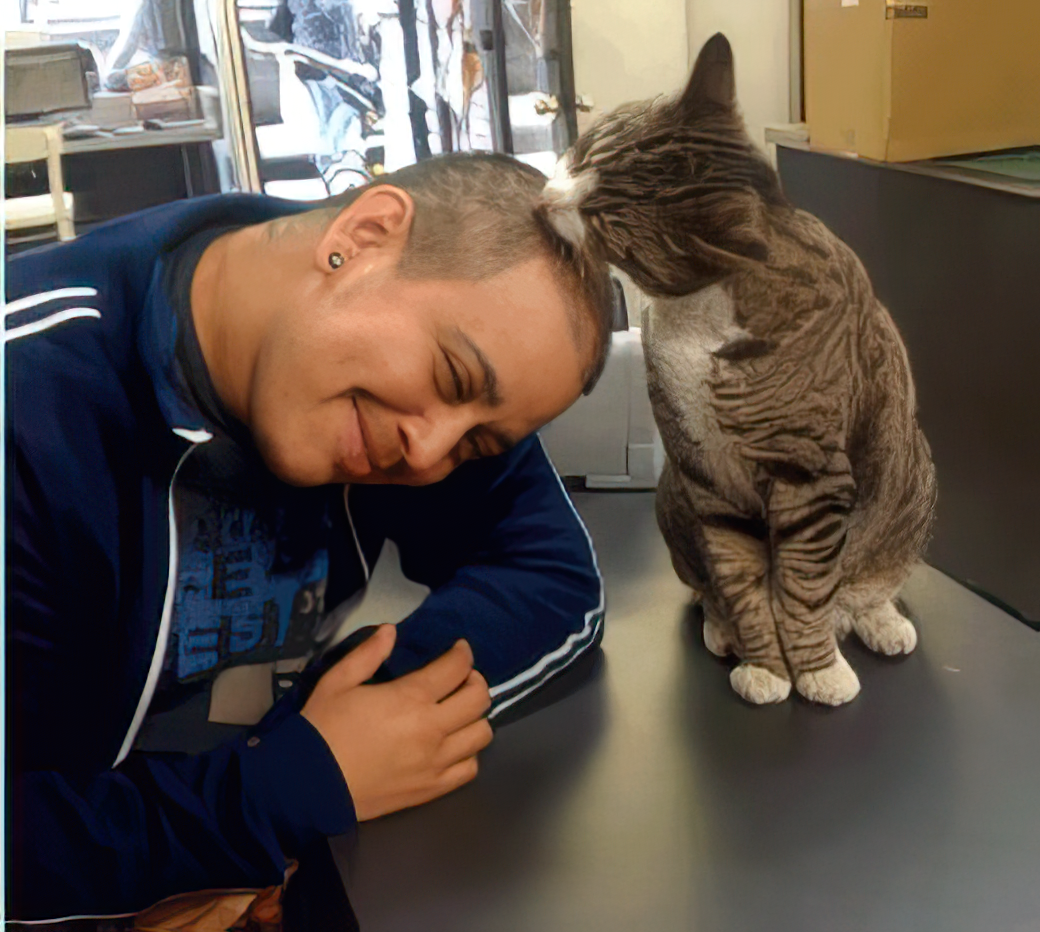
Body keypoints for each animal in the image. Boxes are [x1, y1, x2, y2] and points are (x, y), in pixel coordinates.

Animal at [540, 36, 940, 707]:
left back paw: (877, 621)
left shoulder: (809, 473)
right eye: (587, 151)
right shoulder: (704, 476)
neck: (697, 316)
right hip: (672, 498)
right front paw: (766, 664)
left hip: (912, 478)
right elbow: (742, 582)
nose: (544, 198)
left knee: (863, 586)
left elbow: (803, 587)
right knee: (709, 588)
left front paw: (817, 670)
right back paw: (721, 628)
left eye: (603, 216)